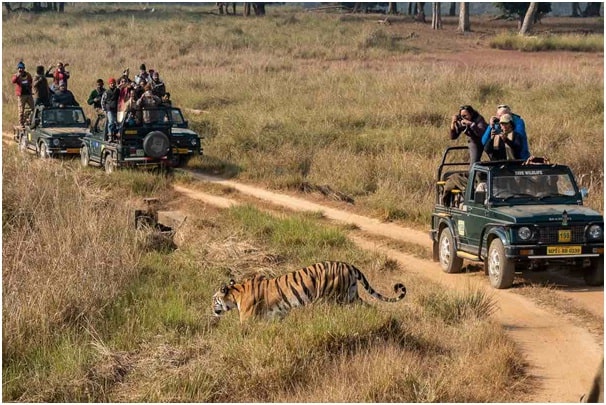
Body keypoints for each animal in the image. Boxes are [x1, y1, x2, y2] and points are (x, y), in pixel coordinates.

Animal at [213, 262, 408, 322]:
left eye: (214, 299)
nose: (212, 309)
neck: (236, 293)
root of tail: (349, 265)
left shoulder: (247, 320)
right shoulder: (276, 316)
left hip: (331, 298)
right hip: (352, 296)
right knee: (369, 307)